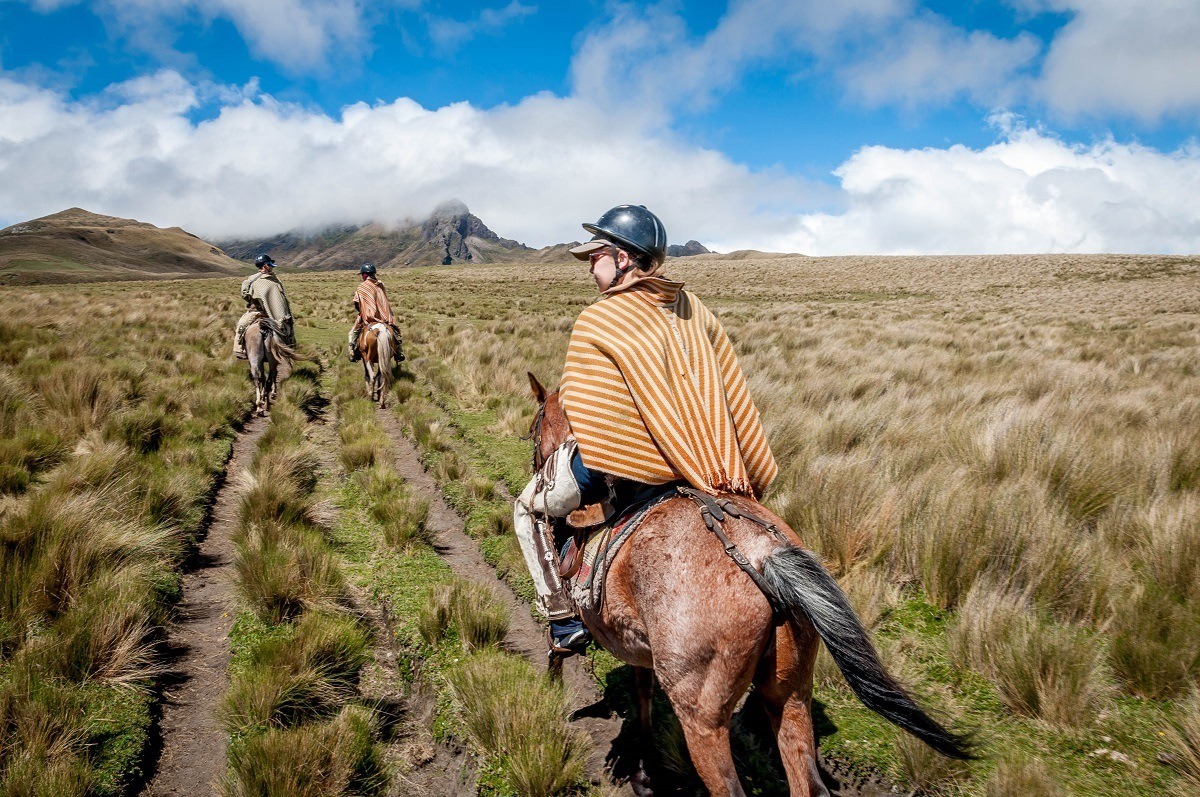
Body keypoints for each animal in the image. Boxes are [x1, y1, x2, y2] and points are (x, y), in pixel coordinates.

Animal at [530, 374, 969, 797]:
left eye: (534, 427)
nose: (537, 466)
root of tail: (763, 556)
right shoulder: (638, 645)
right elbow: (642, 695)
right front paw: (644, 771)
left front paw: (554, 688)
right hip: (790, 693)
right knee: (807, 782)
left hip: (703, 718)